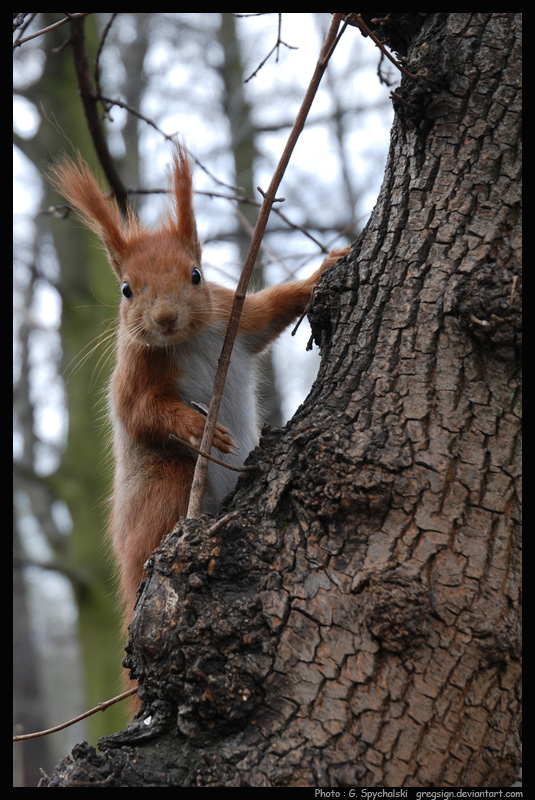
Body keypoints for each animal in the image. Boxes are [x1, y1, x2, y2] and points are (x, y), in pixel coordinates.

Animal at [50, 148, 350, 624]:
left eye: (196, 275)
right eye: (126, 289)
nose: (165, 318)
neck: (185, 340)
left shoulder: (234, 316)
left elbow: (272, 310)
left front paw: (325, 268)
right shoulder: (134, 373)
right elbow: (140, 412)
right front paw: (196, 427)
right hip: (166, 485)